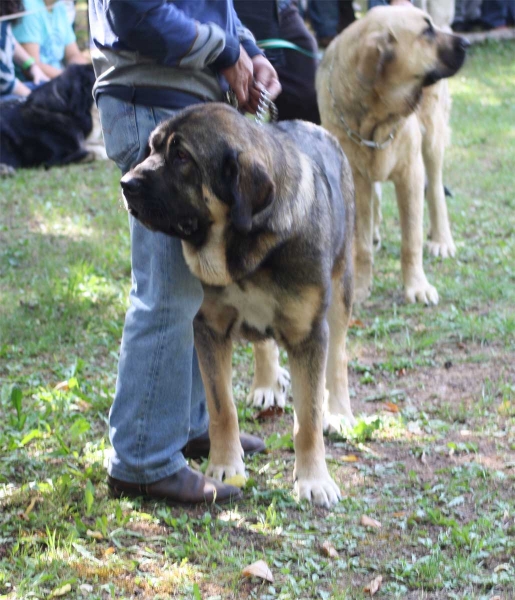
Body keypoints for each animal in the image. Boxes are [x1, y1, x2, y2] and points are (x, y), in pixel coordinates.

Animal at [121, 103, 356, 506]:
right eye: (152, 148)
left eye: (181, 157)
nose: (126, 183)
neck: (246, 245)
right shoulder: (209, 329)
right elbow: (221, 408)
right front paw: (225, 465)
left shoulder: (308, 334)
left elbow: (308, 420)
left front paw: (314, 479)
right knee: (263, 344)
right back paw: (266, 383)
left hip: (341, 289)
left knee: (338, 356)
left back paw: (339, 410)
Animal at [316, 4, 470, 304]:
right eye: (426, 31)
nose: (467, 43)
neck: (376, 118)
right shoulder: (356, 177)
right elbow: (361, 241)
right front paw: (361, 285)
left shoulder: (410, 173)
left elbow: (412, 239)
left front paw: (417, 287)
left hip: (432, 140)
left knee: (435, 189)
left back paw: (441, 240)